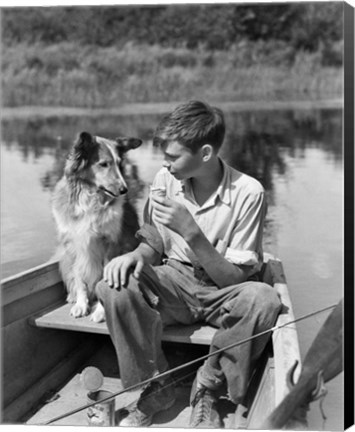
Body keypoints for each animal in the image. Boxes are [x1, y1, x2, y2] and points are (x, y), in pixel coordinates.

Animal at [52, 133, 143, 322]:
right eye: (103, 164)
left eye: (119, 163)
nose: (124, 190)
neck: (89, 199)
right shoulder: (73, 245)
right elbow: (79, 277)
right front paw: (81, 304)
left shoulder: (111, 244)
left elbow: (105, 278)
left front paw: (101, 310)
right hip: (64, 258)